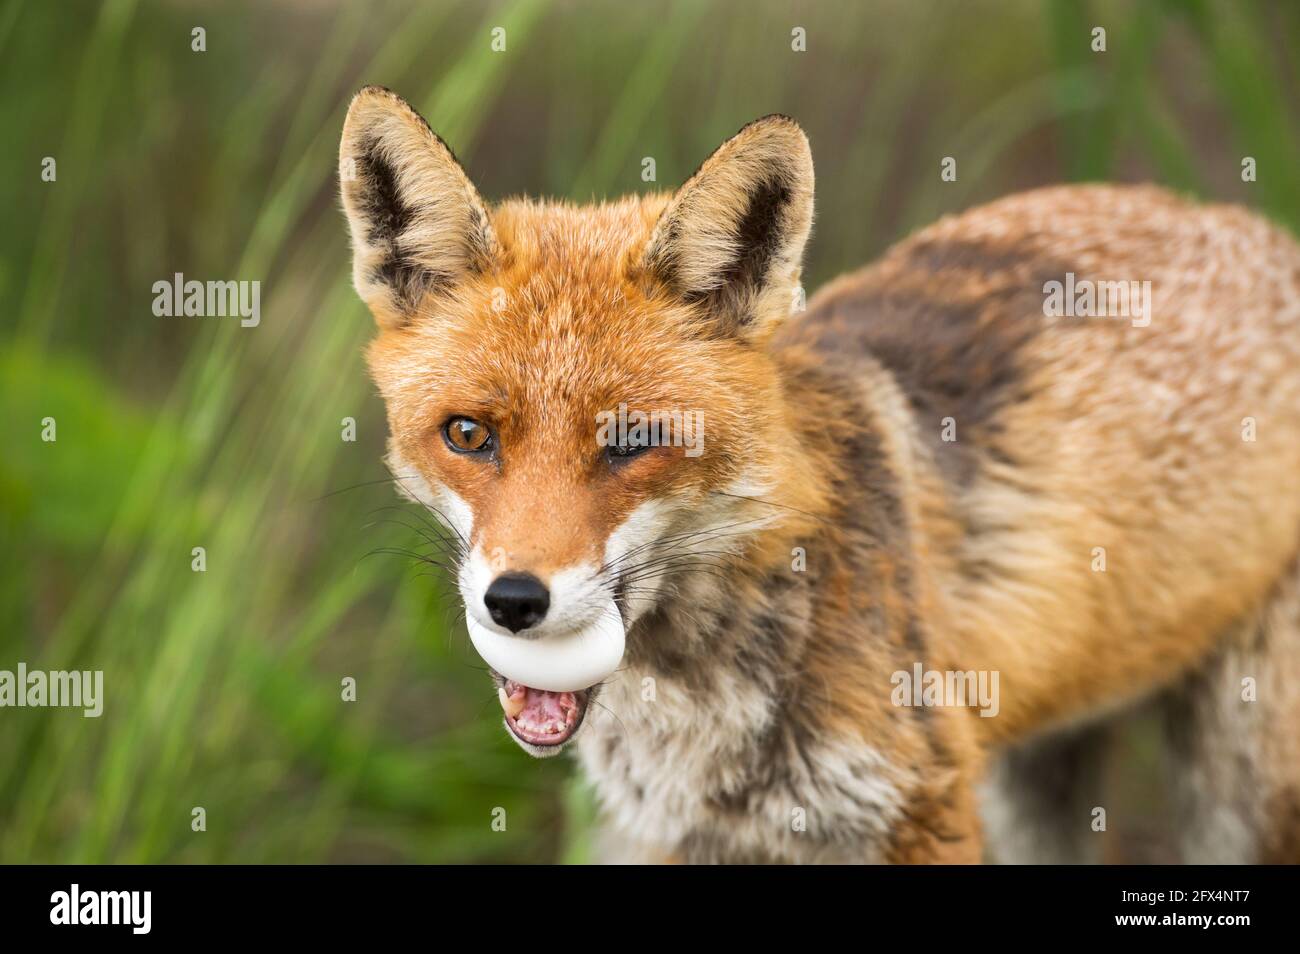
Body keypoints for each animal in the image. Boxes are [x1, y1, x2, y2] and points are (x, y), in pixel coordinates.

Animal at [338, 87, 1300, 868]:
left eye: (633, 441)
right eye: (469, 435)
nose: (514, 602)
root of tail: (1248, 224)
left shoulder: (922, 810)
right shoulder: (676, 836)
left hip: (1239, 786)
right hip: (1037, 781)